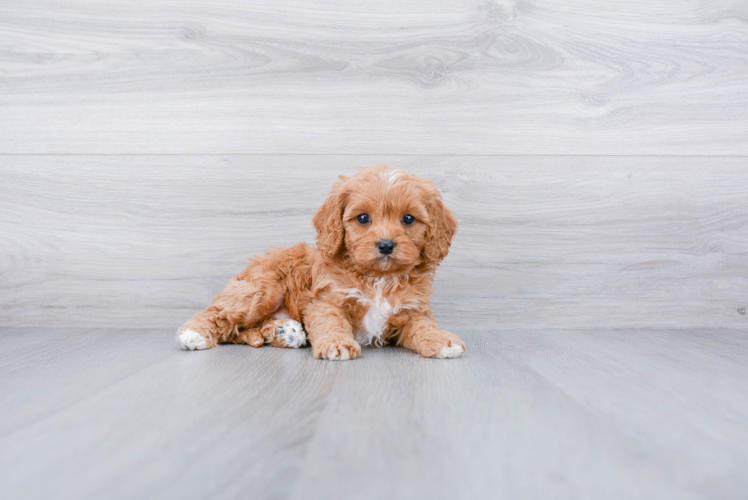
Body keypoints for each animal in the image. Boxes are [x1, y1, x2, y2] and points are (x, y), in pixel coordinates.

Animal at [178, 164, 464, 360]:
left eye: (408, 219)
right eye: (363, 218)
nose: (385, 245)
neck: (379, 278)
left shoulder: (412, 310)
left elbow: (424, 327)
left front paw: (442, 340)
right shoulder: (327, 300)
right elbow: (331, 322)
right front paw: (336, 344)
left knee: (241, 332)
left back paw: (286, 332)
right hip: (263, 290)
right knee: (222, 317)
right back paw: (195, 333)